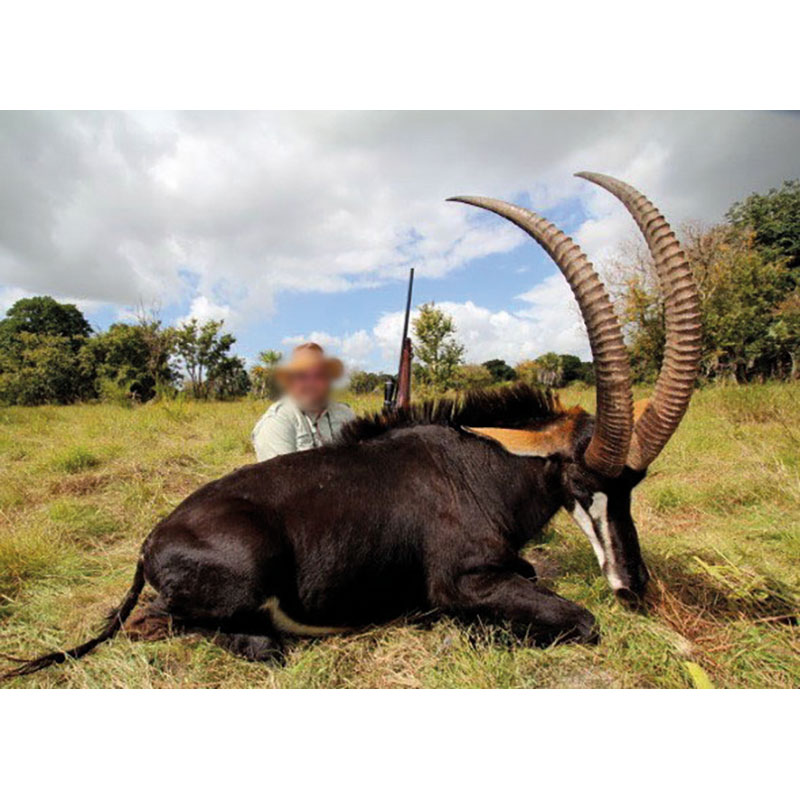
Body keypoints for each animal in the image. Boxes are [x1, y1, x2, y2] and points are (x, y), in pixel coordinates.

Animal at [0, 172, 700, 680]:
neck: (478, 466)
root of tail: (149, 544)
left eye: (634, 488)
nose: (634, 588)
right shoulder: (464, 579)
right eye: (583, 483)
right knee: (170, 626)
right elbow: (578, 620)